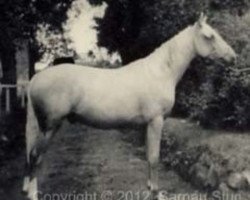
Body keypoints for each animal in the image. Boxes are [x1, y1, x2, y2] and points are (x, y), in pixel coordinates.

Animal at [22, 13, 235, 199]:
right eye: (209, 36)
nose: (232, 56)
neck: (160, 72)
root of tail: (35, 79)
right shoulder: (156, 121)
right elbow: (154, 157)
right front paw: (155, 192)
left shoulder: (148, 124)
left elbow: (149, 155)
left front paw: (149, 187)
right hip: (50, 127)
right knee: (34, 157)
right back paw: (32, 194)